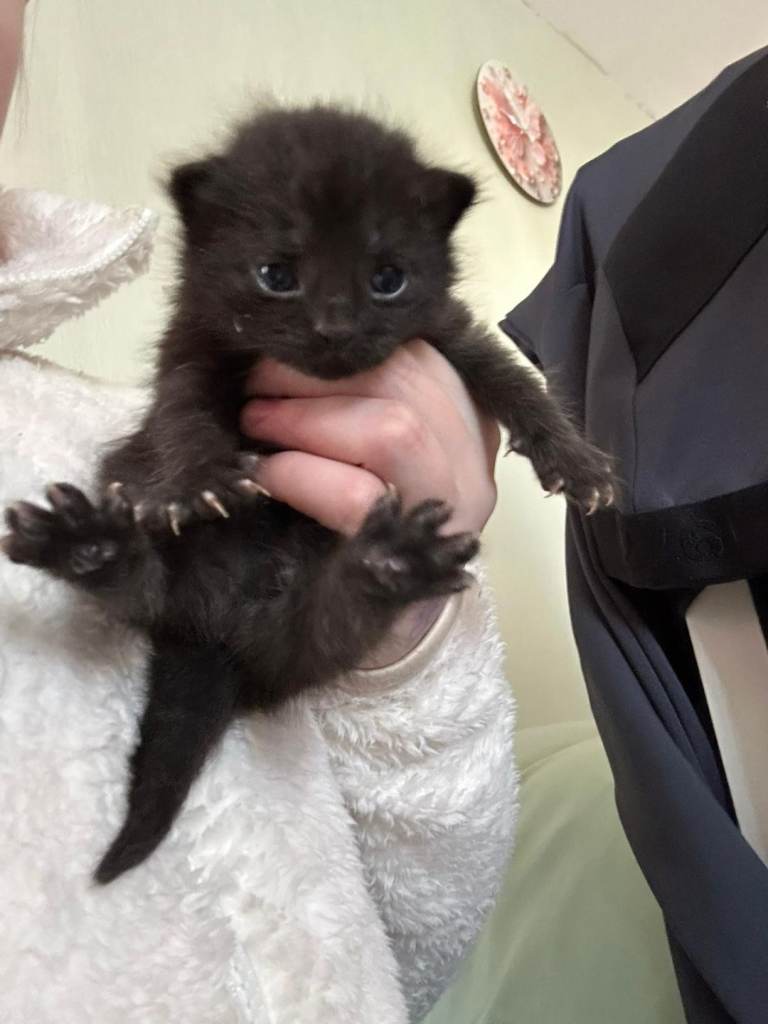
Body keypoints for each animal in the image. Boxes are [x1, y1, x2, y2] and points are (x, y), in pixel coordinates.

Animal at [2, 105, 613, 884]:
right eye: (276, 274)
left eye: (388, 278)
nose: (334, 327)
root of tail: (217, 630)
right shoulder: (194, 346)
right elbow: (181, 413)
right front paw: (195, 481)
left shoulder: (450, 333)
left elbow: (517, 381)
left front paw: (579, 463)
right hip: (150, 521)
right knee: (145, 586)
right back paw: (89, 545)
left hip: (302, 641)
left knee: (331, 620)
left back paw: (390, 565)